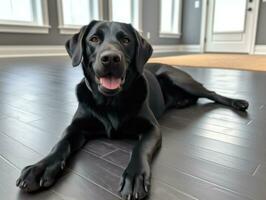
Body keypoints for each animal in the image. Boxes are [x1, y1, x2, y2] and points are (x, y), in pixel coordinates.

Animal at [16, 20, 249, 200]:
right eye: (94, 39)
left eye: (126, 40)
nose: (111, 58)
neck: (110, 102)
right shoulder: (76, 126)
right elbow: (61, 143)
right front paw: (40, 167)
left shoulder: (151, 128)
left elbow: (140, 148)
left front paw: (135, 176)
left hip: (179, 78)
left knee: (211, 92)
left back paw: (238, 102)